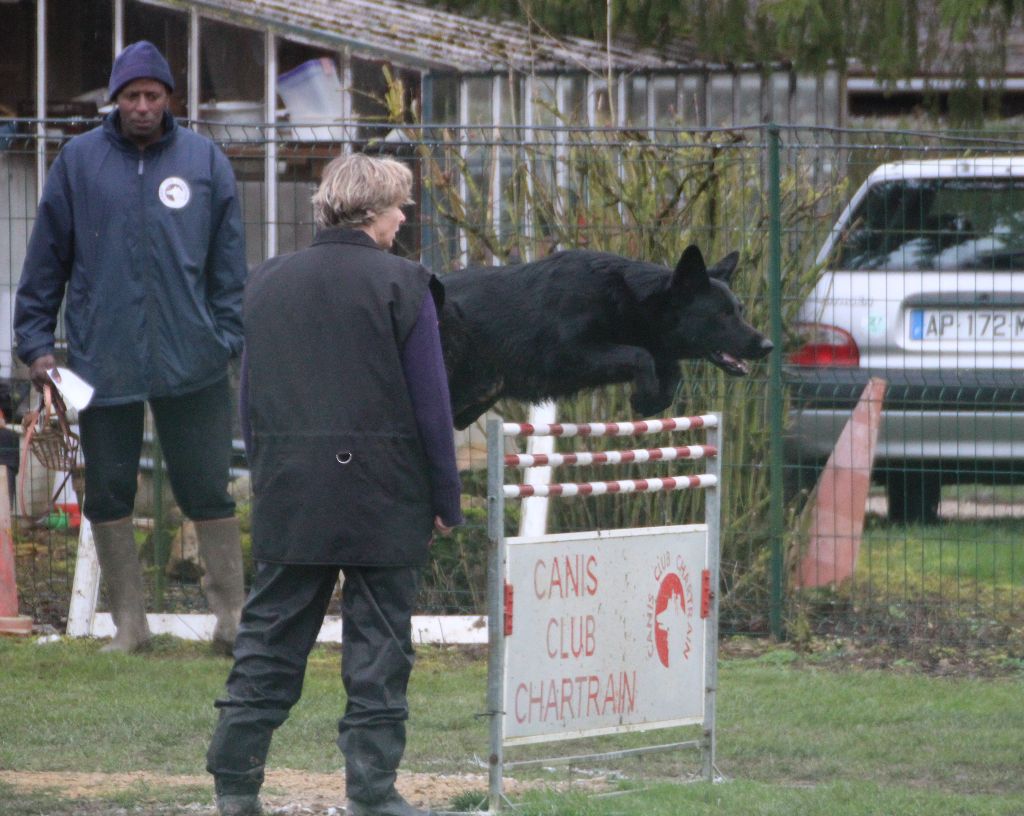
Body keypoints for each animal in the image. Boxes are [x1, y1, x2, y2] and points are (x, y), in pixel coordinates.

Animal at [440, 244, 774, 430]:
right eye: (723, 315)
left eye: (739, 310)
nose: (767, 346)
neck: (627, 299)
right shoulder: (568, 355)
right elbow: (641, 355)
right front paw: (644, 397)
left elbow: (670, 371)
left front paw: (654, 400)